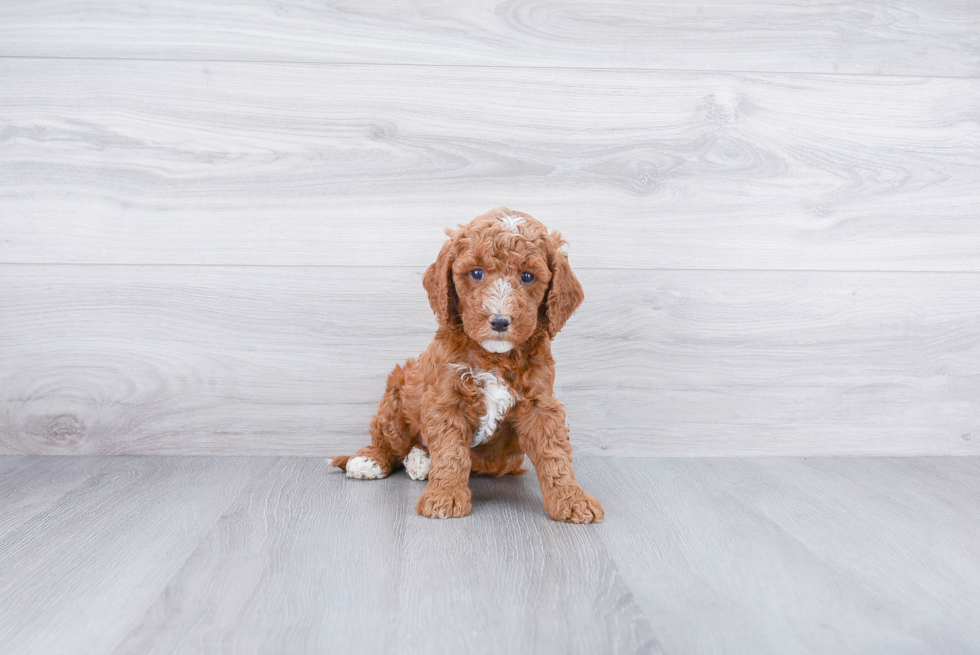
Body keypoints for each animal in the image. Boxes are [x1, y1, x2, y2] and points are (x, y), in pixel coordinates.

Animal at [334, 210, 600, 524]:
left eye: (527, 276)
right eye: (476, 273)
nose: (500, 321)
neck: (495, 357)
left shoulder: (541, 404)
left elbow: (554, 453)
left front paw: (572, 499)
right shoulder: (446, 399)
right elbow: (451, 452)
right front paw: (445, 497)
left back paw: (420, 461)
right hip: (397, 392)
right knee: (390, 439)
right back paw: (372, 459)